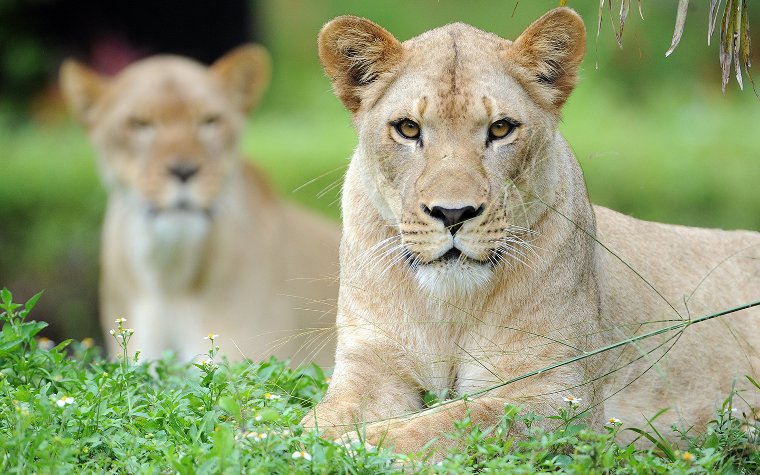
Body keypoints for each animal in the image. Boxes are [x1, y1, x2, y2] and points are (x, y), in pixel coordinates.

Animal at [301, 8, 760, 453]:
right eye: (408, 128)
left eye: (501, 128)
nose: (453, 213)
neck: (449, 311)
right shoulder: (370, 366)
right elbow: (321, 419)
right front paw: (319, 438)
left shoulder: (563, 399)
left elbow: (460, 421)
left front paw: (365, 443)